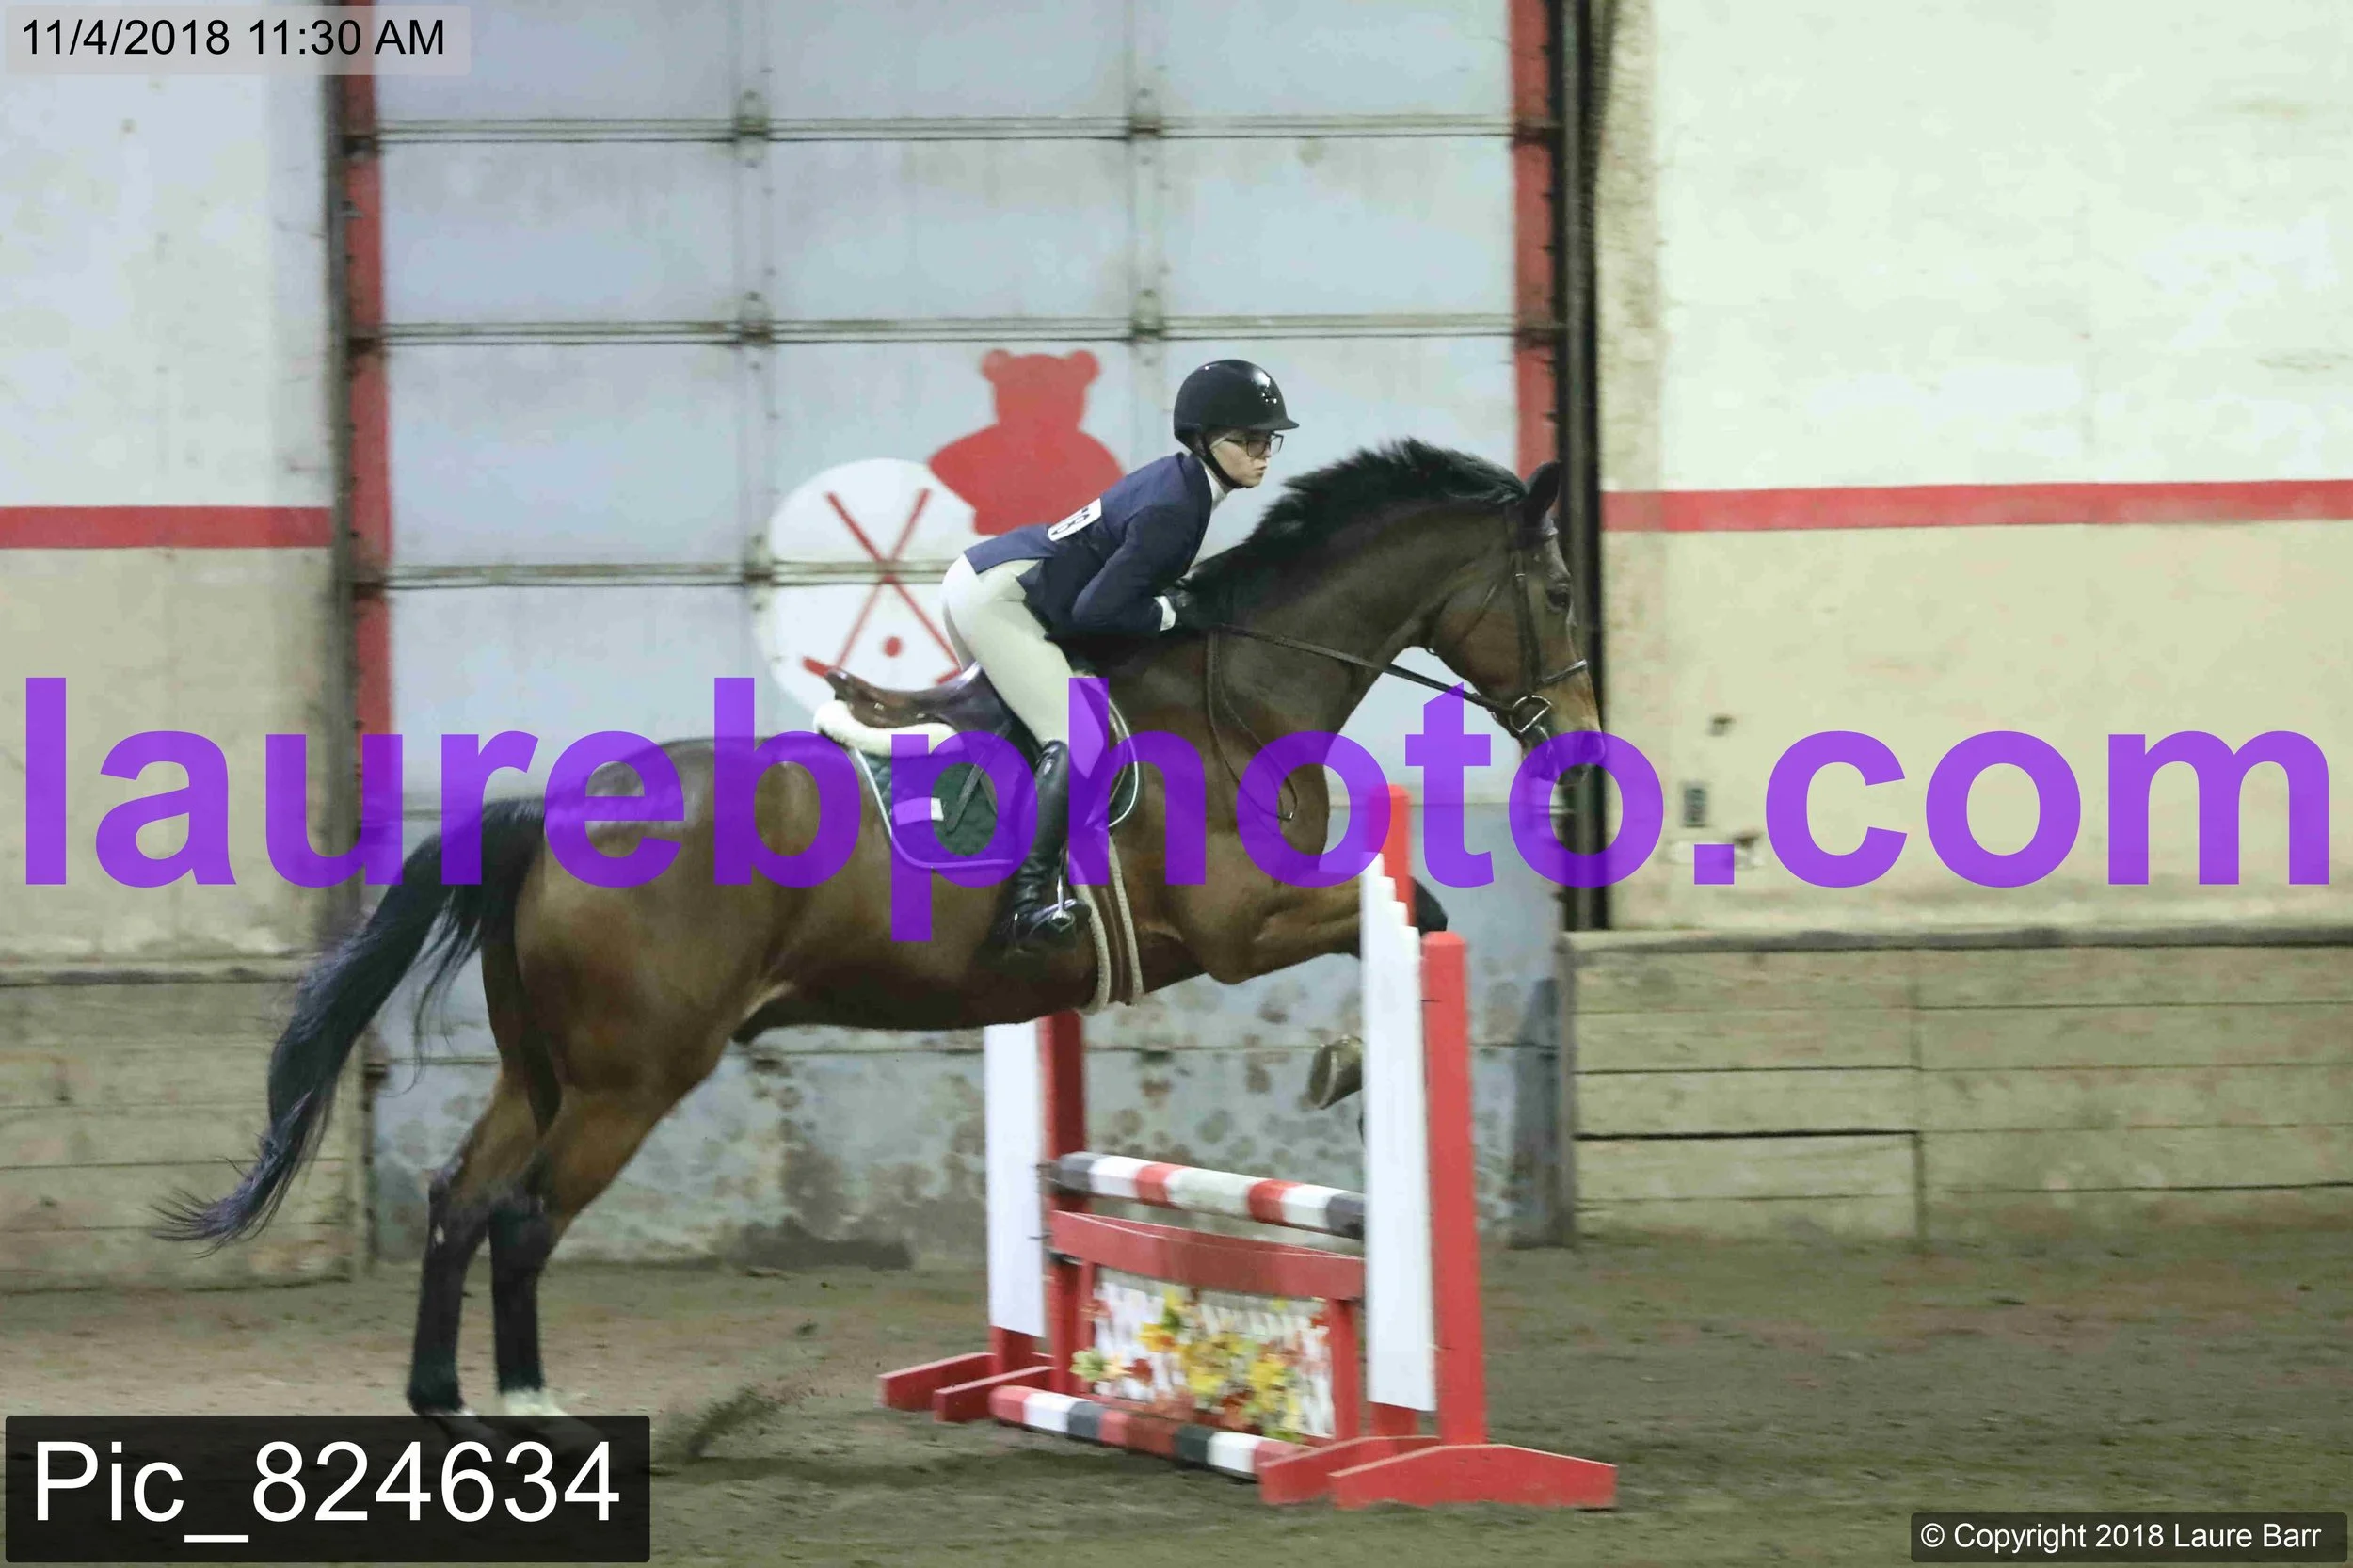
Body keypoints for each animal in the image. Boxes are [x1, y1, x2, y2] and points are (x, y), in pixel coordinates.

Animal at [155, 438, 1600, 1424]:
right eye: (1560, 590)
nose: (1581, 745)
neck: (1236, 692)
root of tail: (550, 810)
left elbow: (1404, 914)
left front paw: (1349, 1067)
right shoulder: (1242, 928)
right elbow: (1403, 911)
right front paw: (1346, 1068)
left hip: (544, 1066)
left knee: (460, 1199)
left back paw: (444, 1401)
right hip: (631, 1079)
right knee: (519, 1216)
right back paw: (530, 1404)